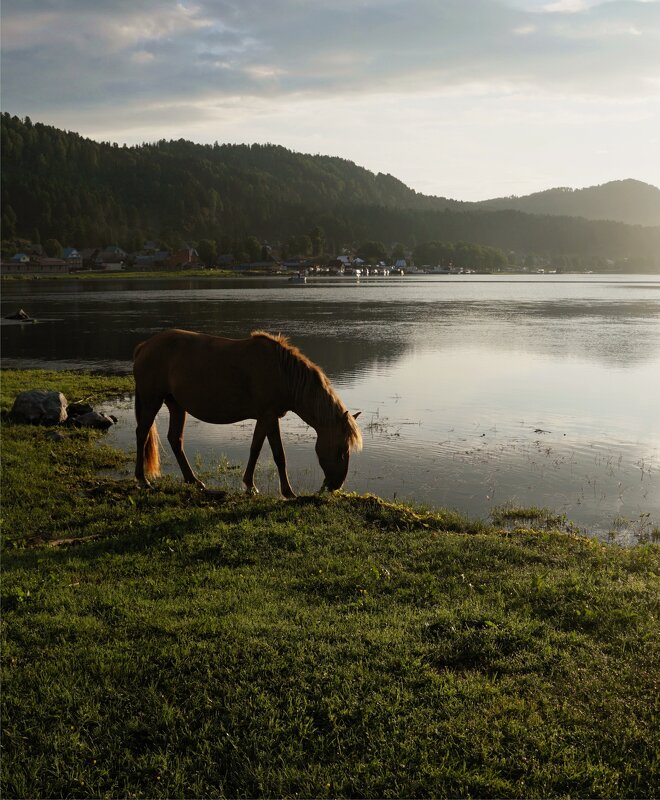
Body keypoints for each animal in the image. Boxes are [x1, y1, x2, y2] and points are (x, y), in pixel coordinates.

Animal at [132, 330, 364, 494]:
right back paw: (143, 480)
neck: (283, 373)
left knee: (175, 439)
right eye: (341, 449)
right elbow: (273, 453)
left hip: (176, 405)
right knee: (142, 434)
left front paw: (257, 486)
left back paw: (194, 481)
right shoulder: (268, 416)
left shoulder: (267, 418)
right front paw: (281, 491)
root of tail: (144, 346)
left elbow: (261, 450)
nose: (336, 486)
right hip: (152, 401)